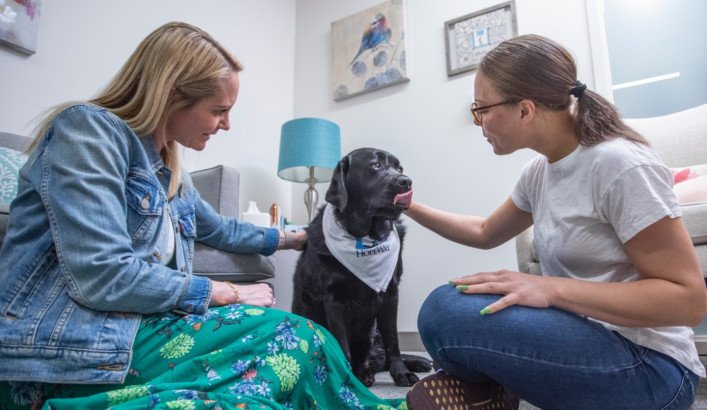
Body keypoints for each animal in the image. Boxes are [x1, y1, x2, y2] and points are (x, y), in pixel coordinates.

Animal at [290, 148, 432, 388]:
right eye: (375, 165)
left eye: (399, 168)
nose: (406, 181)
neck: (366, 235)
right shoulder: (335, 299)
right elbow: (342, 345)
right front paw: (346, 380)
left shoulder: (391, 294)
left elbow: (393, 341)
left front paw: (401, 373)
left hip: (371, 332)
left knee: (378, 357)